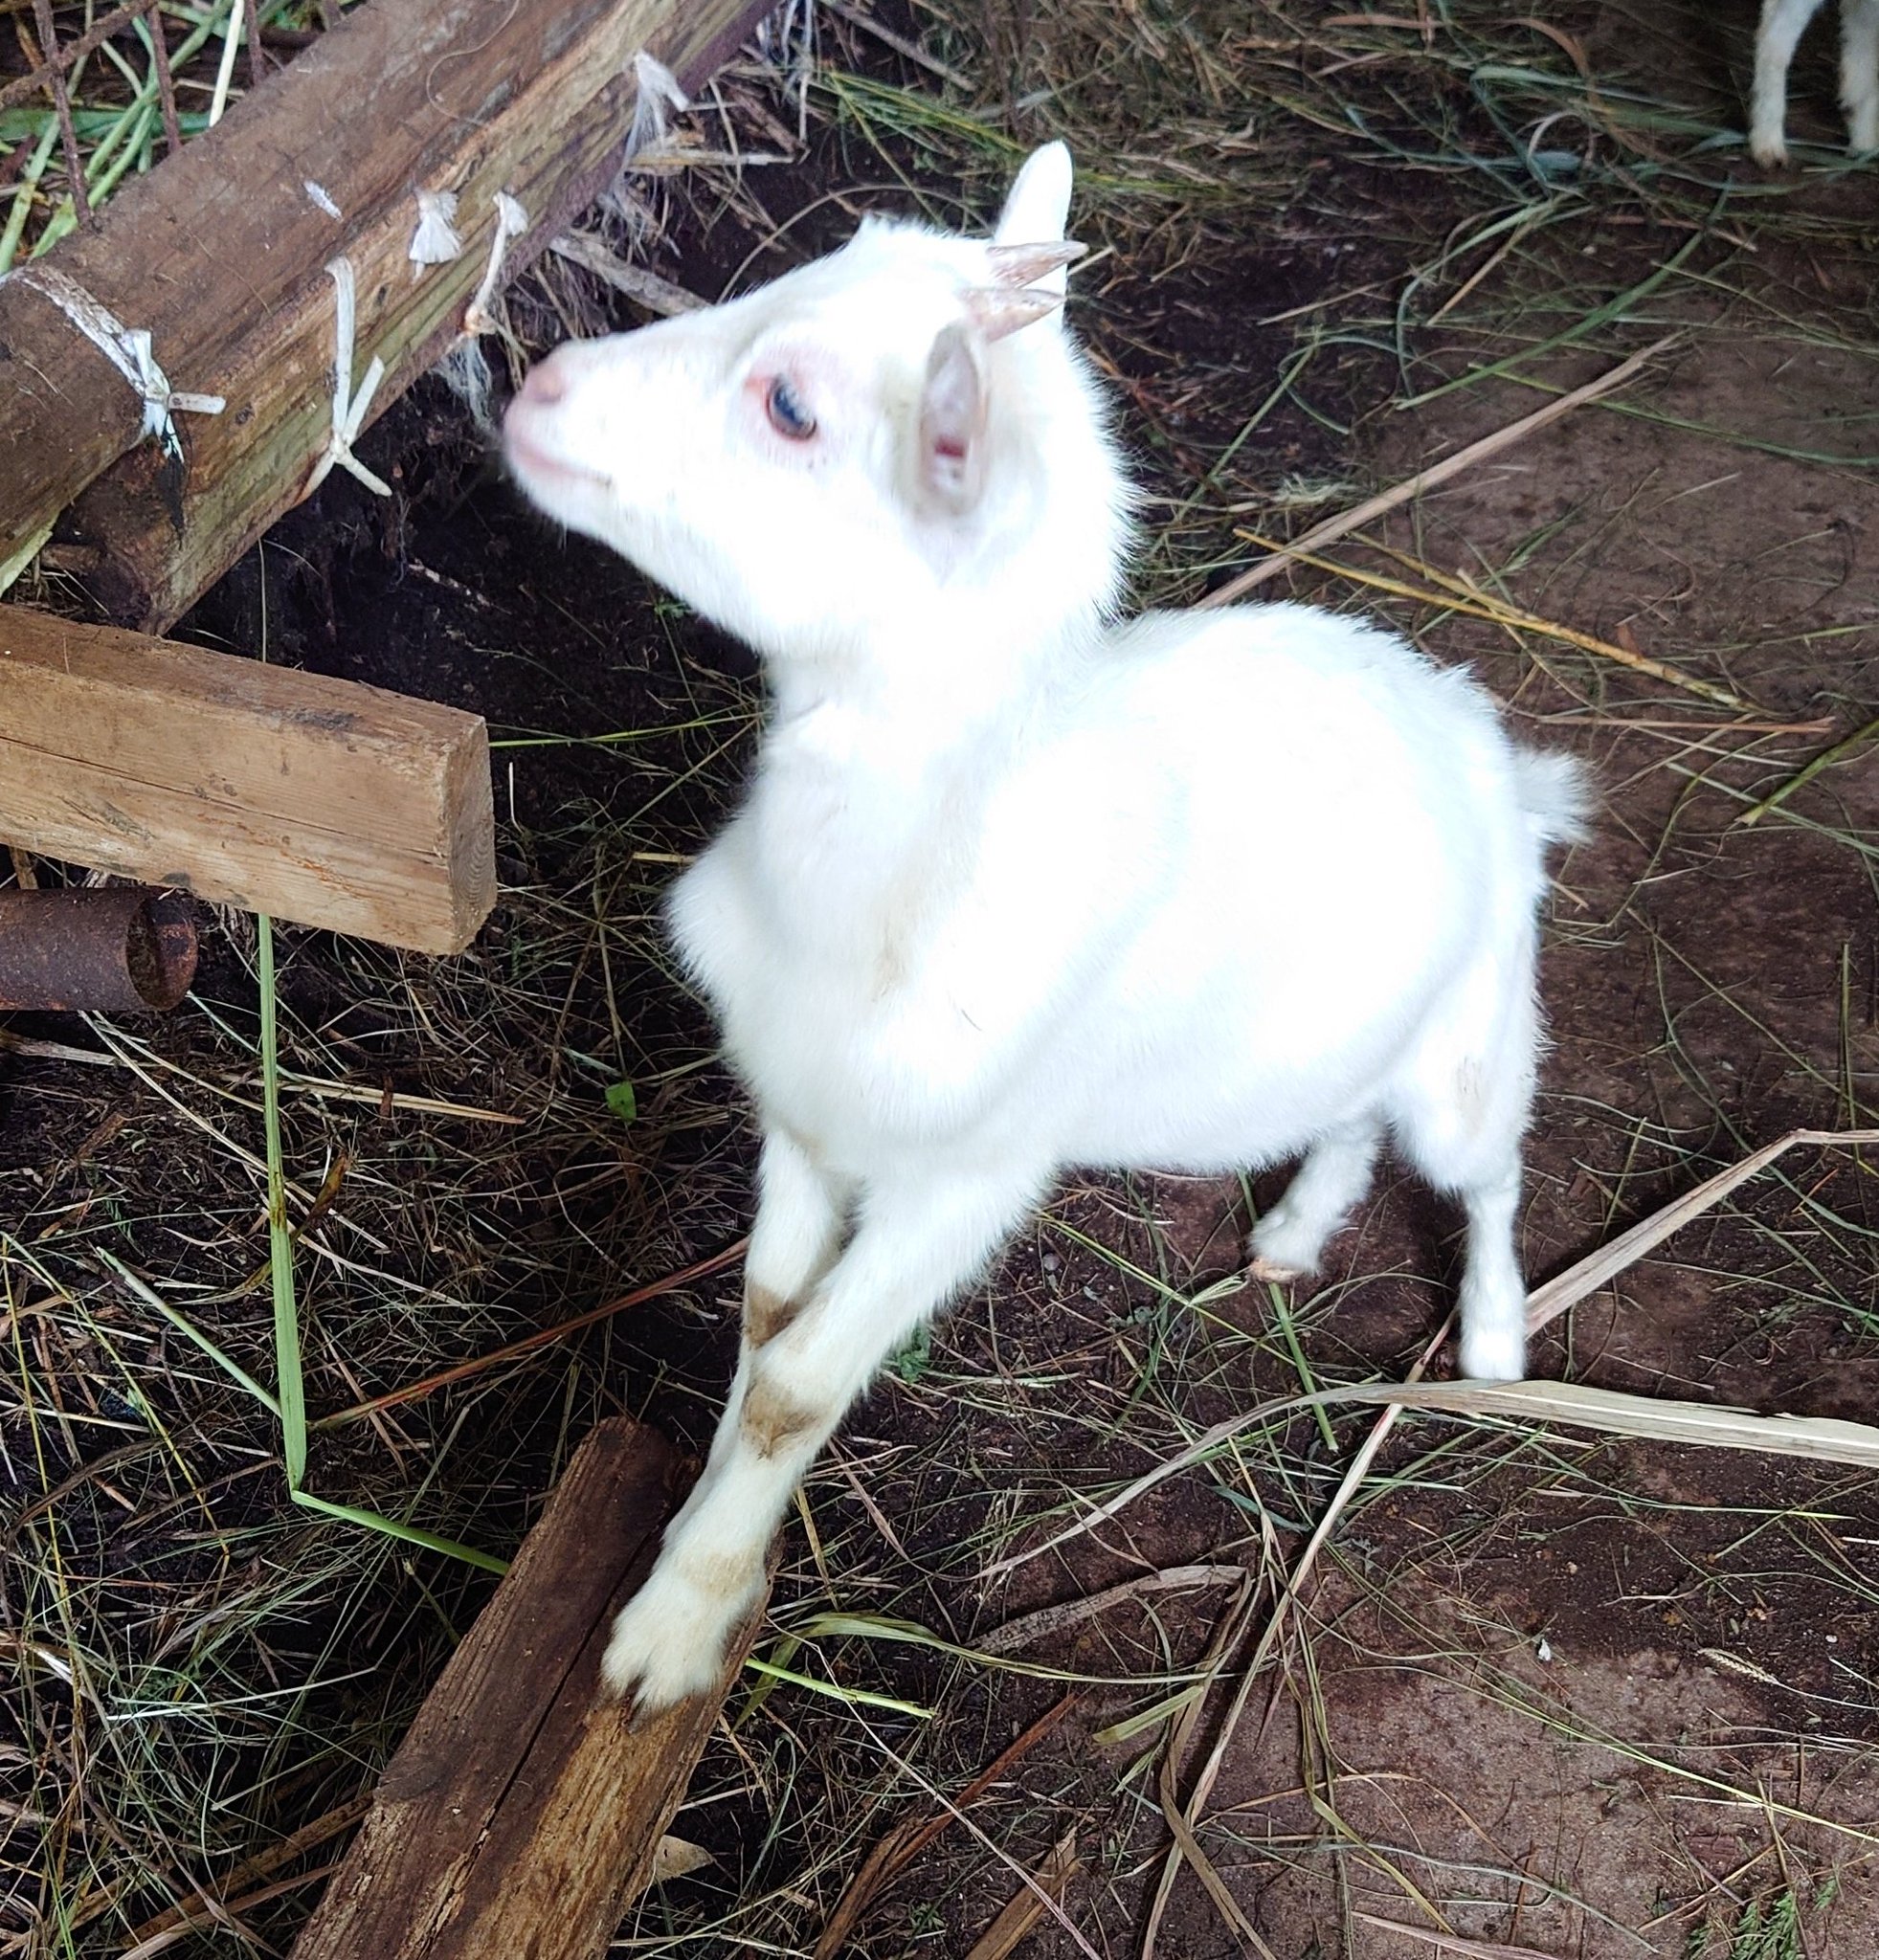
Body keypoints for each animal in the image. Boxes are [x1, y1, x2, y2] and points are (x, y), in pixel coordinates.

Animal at [503, 142, 1589, 1713]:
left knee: (1486, 1167)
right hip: (1330, 1040)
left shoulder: (969, 1175)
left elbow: (796, 1385)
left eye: (792, 407)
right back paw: (1292, 1233)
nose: (537, 386)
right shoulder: (806, 1113)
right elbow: (764, 1331)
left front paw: (673, 1630)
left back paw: (1498, 1338)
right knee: (1343, 1119)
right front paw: (706, 1553)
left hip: (1476, 1030)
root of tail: (1489, 750)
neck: (882, 880)